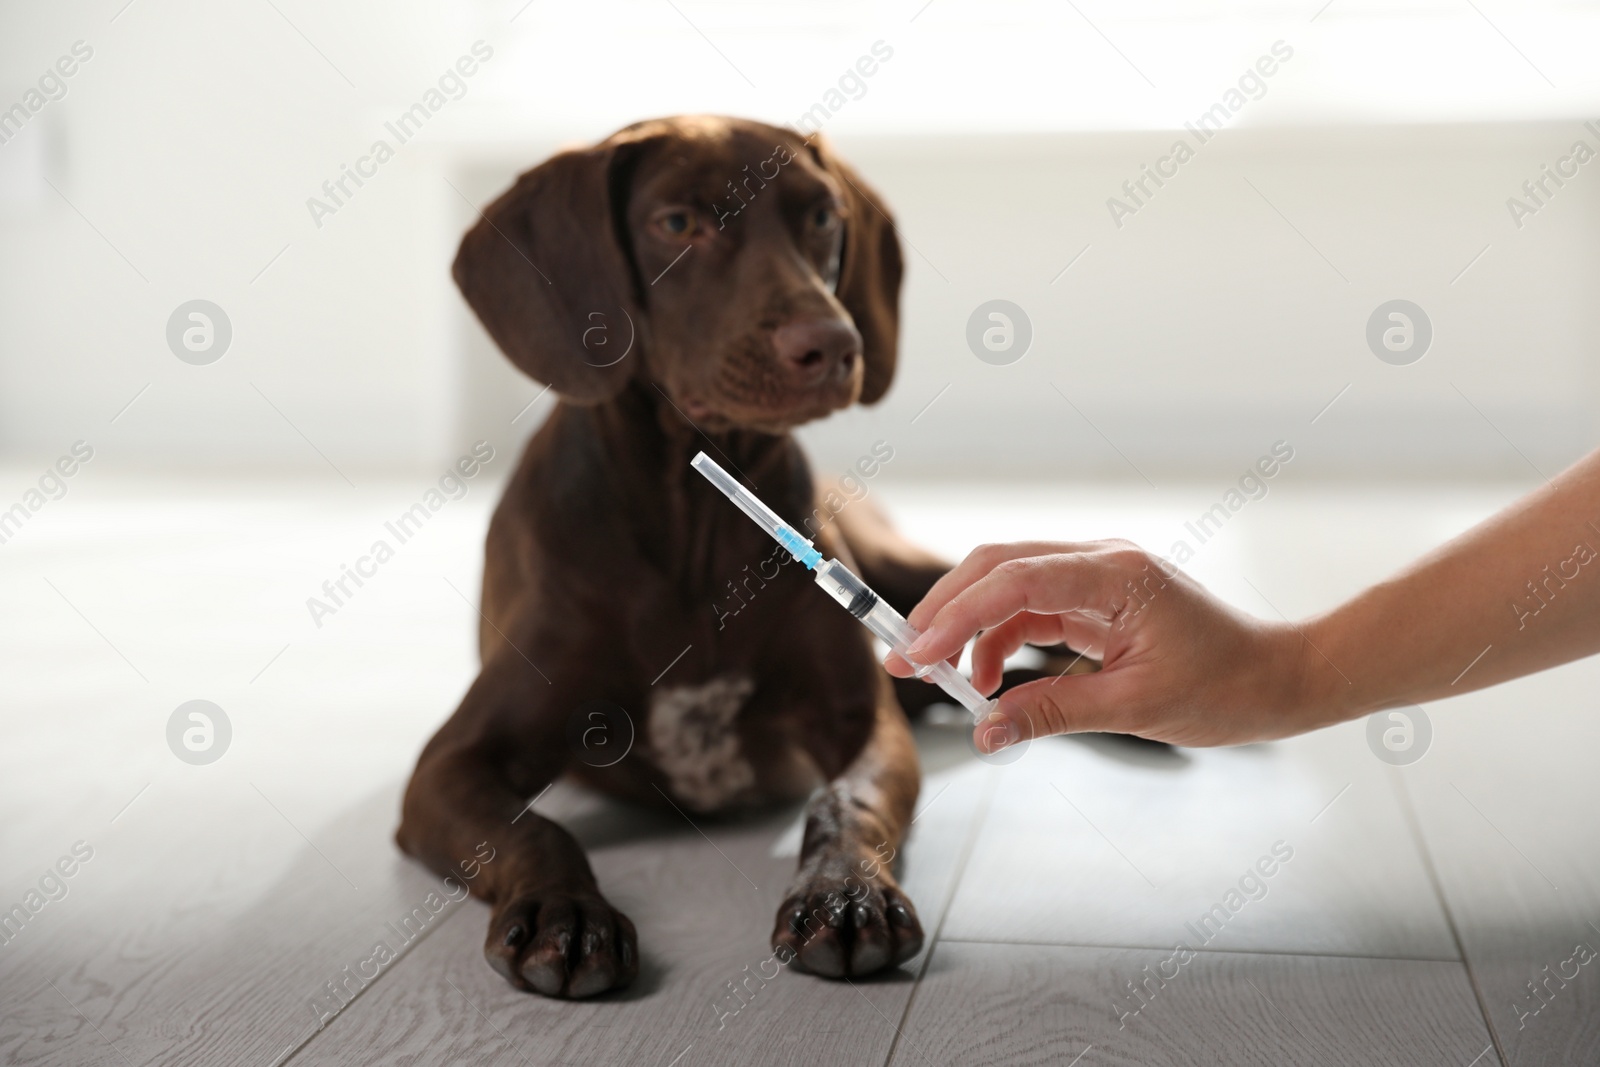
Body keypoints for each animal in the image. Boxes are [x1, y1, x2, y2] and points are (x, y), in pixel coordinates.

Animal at [396, 116, 985, 1004]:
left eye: (822, 217)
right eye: (676, 223)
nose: (833, 343)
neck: (696, 526)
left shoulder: (863, 722)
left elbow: (846, 801)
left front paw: (843, 891)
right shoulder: (451, 762)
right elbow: (537, 829)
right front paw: (565, 911)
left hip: (910, 579)